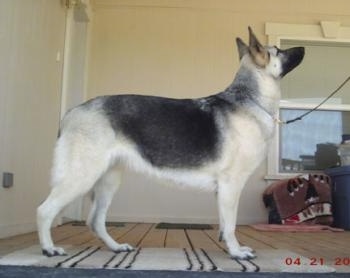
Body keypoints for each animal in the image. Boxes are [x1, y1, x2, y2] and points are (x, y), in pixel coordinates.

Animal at [36, 27, 304, 260]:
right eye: (278, 50)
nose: (302, 48)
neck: (248, 98)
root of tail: (72, 112)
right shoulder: (231, 186)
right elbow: (230, 225)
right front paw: (237, 252)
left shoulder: (224, 191)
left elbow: (224, 224)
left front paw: (230, 248)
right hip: (81, 177)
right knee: (44, 210)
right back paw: (49, 249)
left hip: (108, 182)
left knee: (95, 221)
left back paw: (116, 247)